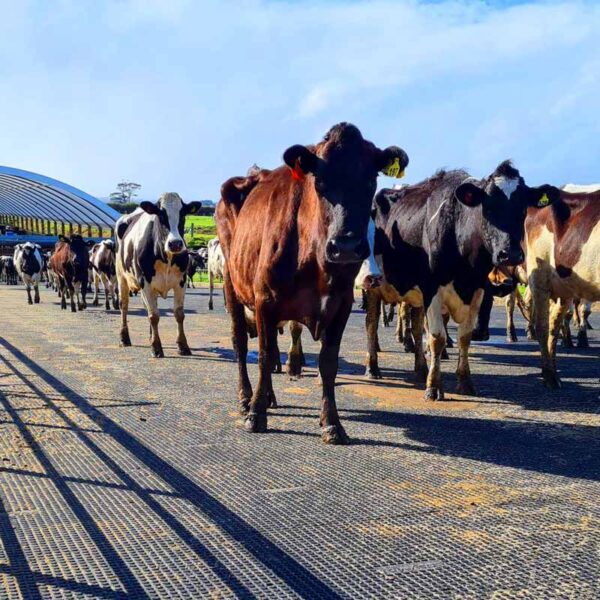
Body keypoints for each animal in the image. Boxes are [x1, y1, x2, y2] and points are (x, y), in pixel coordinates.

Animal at [115, 192, 202, 356]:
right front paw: (156, 347)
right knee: (124, 306)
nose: (175, 243)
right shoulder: (145, 282)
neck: (166, 256)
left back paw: (150, 336)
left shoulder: (181, 282)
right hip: (121, 277)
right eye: (161, 215)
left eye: (183, 214)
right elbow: (154, 316)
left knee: (148, 307)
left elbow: (179, 314)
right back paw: (124, 338)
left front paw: (183, 345)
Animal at [216, 122, 408, 442]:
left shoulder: (342, 305)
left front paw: (332, 422)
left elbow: (327, 363)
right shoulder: (264, 299)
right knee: (241, 342)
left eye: (370, 180)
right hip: (232, 284)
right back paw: (246, 398)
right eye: (319, 182)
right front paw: (256, 413)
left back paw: (268, 397)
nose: (345, 246)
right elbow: (264, 356)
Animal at [372, 162, 560, 400]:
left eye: (523, 209)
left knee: (414, 327)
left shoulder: (477, 290)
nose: (510, 254)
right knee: (371, 324)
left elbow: (464, 337)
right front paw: (434, 386)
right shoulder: (432, 290)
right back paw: (373, 366)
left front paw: (465, 381)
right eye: (487, 209)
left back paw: (420, 369)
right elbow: (437, 337)